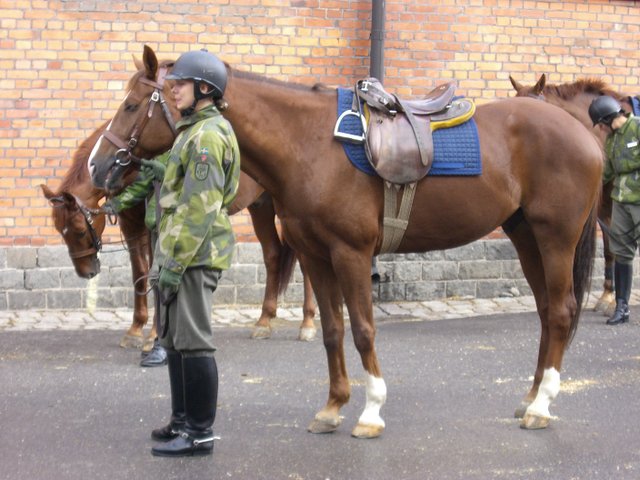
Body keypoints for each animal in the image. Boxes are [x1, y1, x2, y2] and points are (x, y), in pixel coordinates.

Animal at [42, 125, 318, 348]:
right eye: (59, 231)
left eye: (79, 230)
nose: (86, 272)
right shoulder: (132, 227)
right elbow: (139, 275)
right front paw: (135, 329)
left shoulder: (155, 227)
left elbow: (155, 275)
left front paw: (155, 335)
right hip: (260, 206)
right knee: (272, 255)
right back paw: (264, 321)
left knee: (306, 264)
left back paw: (307, 323)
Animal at [87, 47, 604, 436]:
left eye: (132, 105)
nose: (97, 165)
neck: (310, 143)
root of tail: (582, 132)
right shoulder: (316, 255)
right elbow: (333, 330)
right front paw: (333, 407)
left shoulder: (351, 254)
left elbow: (363, 330)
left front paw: (371, 411)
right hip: (526, 237)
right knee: (546, 312)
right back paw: (530, 398)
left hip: (555, 238)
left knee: (561, 312)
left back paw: (541, 406)